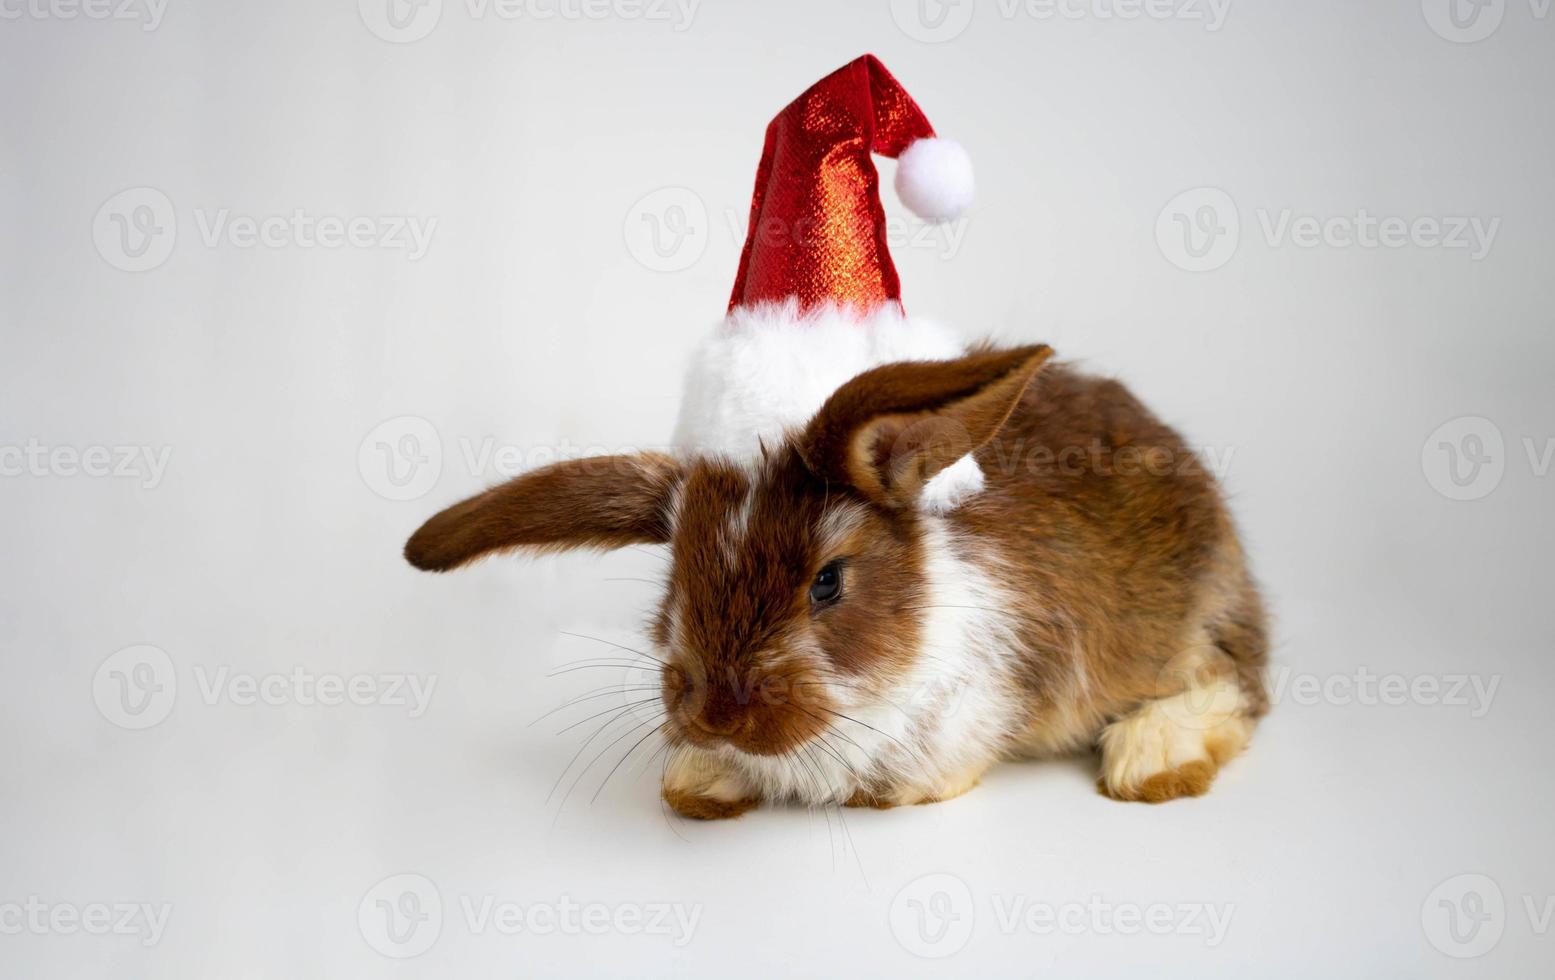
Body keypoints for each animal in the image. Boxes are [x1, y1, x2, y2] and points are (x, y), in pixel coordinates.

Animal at [407, 345, 1268, 821]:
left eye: (827, 584)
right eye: (674, 577)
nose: (715, 713)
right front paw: (702, 781)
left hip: (1199, 613)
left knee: (1236, 684)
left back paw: (1150, 756)